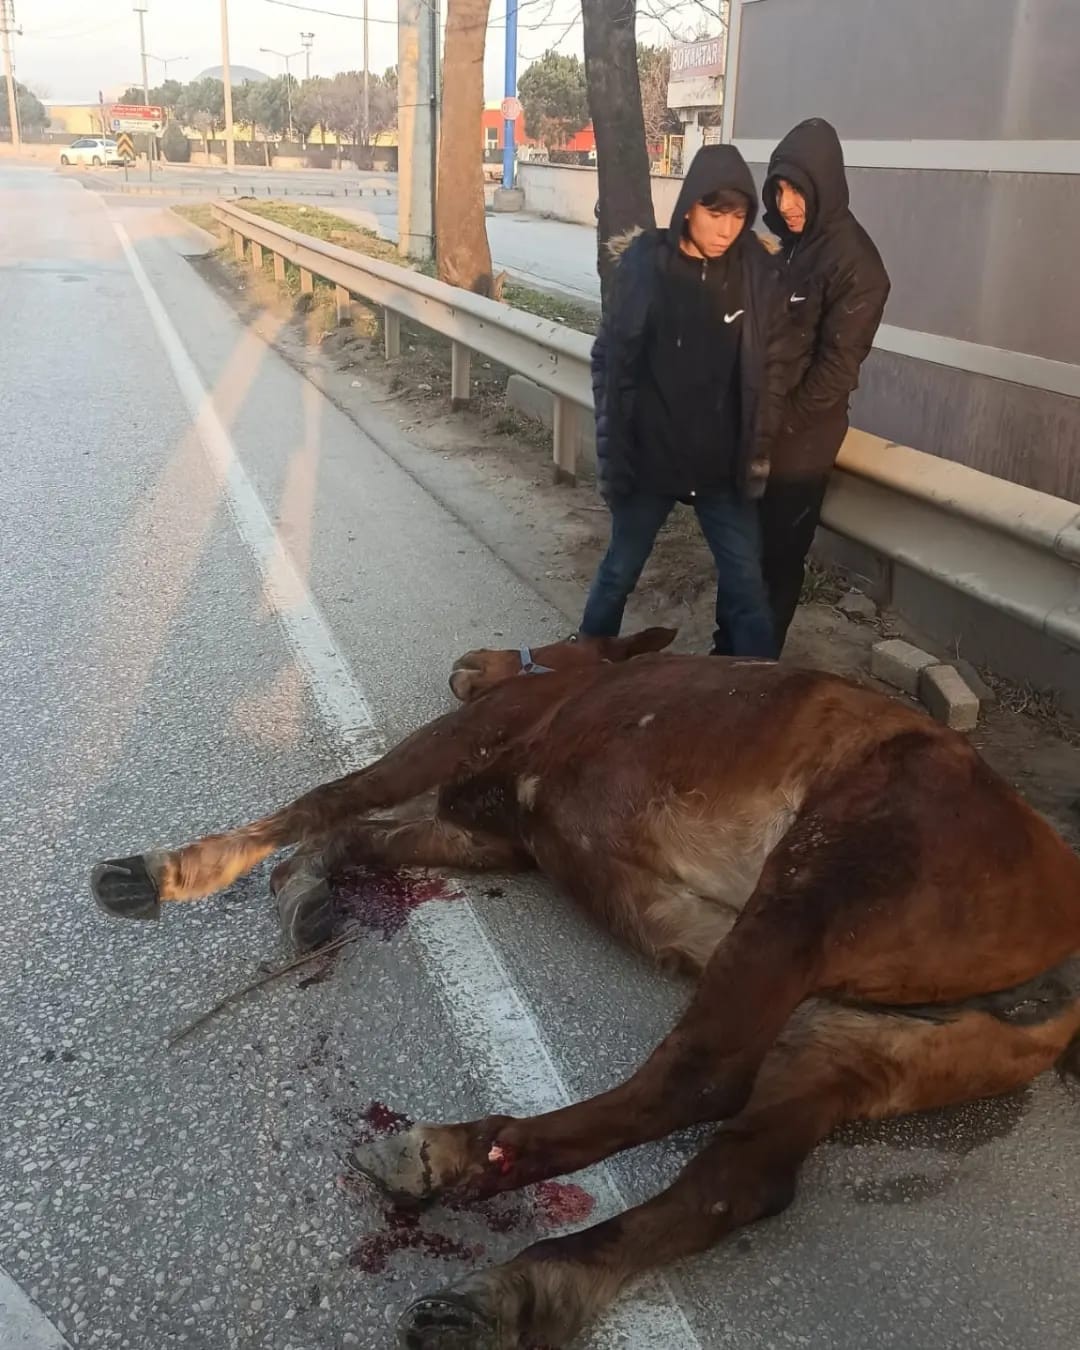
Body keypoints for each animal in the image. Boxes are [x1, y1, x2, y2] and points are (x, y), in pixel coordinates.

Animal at [93, 631, 1080, 1350]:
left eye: (519, 648)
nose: (468, 661)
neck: (582, 673)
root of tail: (1056, 964)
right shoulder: (498, 837)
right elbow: (359, 835)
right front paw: (302, 890)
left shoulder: (470, 745)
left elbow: (332, 798)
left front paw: (173, 870)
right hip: (857, 1040)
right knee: (743, 1175)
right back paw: (519, 1283)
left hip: (815, 887)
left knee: (701, 1077)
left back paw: (455, 1165)